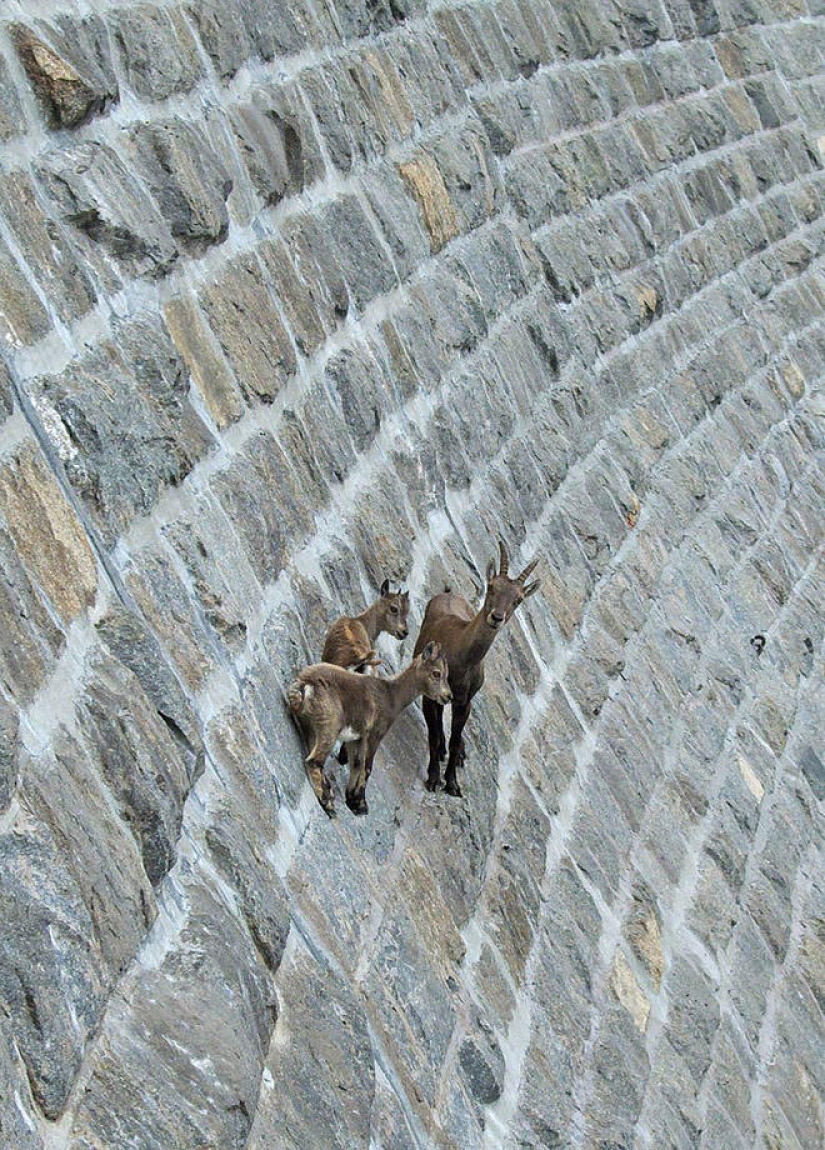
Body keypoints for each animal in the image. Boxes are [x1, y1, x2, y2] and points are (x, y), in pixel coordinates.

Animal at [288, 641, 452, 817]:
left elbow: (356, 763)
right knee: (314, 760)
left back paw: (328, 793)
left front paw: (351, 799)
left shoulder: (356, 738)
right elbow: (367, 767)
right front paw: (360, 804)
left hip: (310, 727)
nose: (448, 696)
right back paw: (327, 802)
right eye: (436, 673)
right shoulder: (375, 734)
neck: (392, 696)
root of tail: (304, 683)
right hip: (330, 726)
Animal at [413, 541, 540, 796]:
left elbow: (454, 739)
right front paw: (433, 779)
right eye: (491, 587)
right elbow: (433, 734)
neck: (460, 659)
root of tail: (449, 594)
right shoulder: (429, 696)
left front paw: (452, 783)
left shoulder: (465, 702)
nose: (497, 617)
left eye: (518, 599)